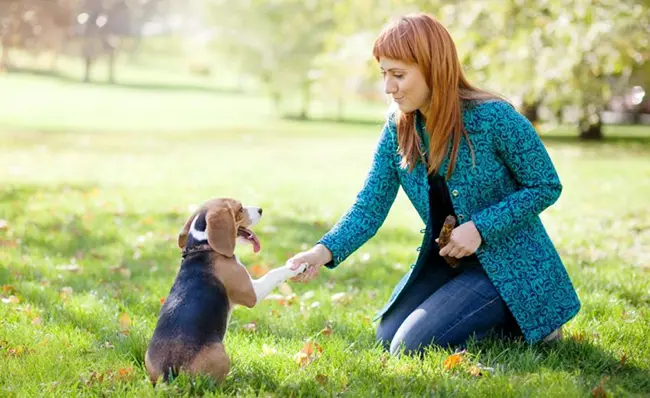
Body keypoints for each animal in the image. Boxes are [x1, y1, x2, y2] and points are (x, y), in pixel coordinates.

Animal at [146, 198, 308, 382]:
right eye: (240, 208)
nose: (260, 209)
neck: (204, 246)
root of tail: (170, 371)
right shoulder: (251, 293)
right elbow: (274, 273)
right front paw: (297, 266)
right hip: (221, 354)